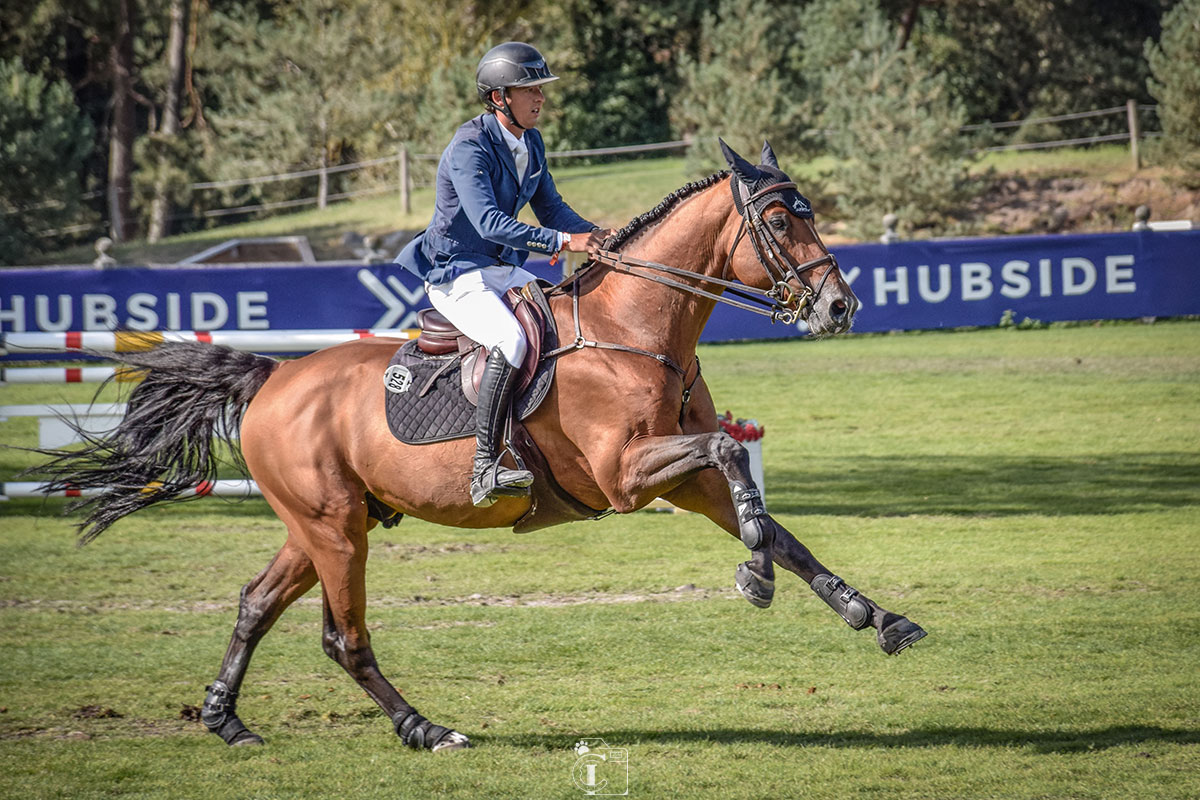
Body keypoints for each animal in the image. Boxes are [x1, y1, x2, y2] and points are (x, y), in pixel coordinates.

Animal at [30, 142, 926, 753]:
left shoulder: (679, 472)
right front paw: (754, 577)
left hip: (326, 522)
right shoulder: (628, 476)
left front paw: (870, 614)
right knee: (342, 637)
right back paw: (426, 729)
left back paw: (226, 720)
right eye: (778, 219)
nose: (841, 307)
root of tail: (274, 377)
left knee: (256, 602)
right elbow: (736, 464)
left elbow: (770, 517)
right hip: (334, 528)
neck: (633, 326)